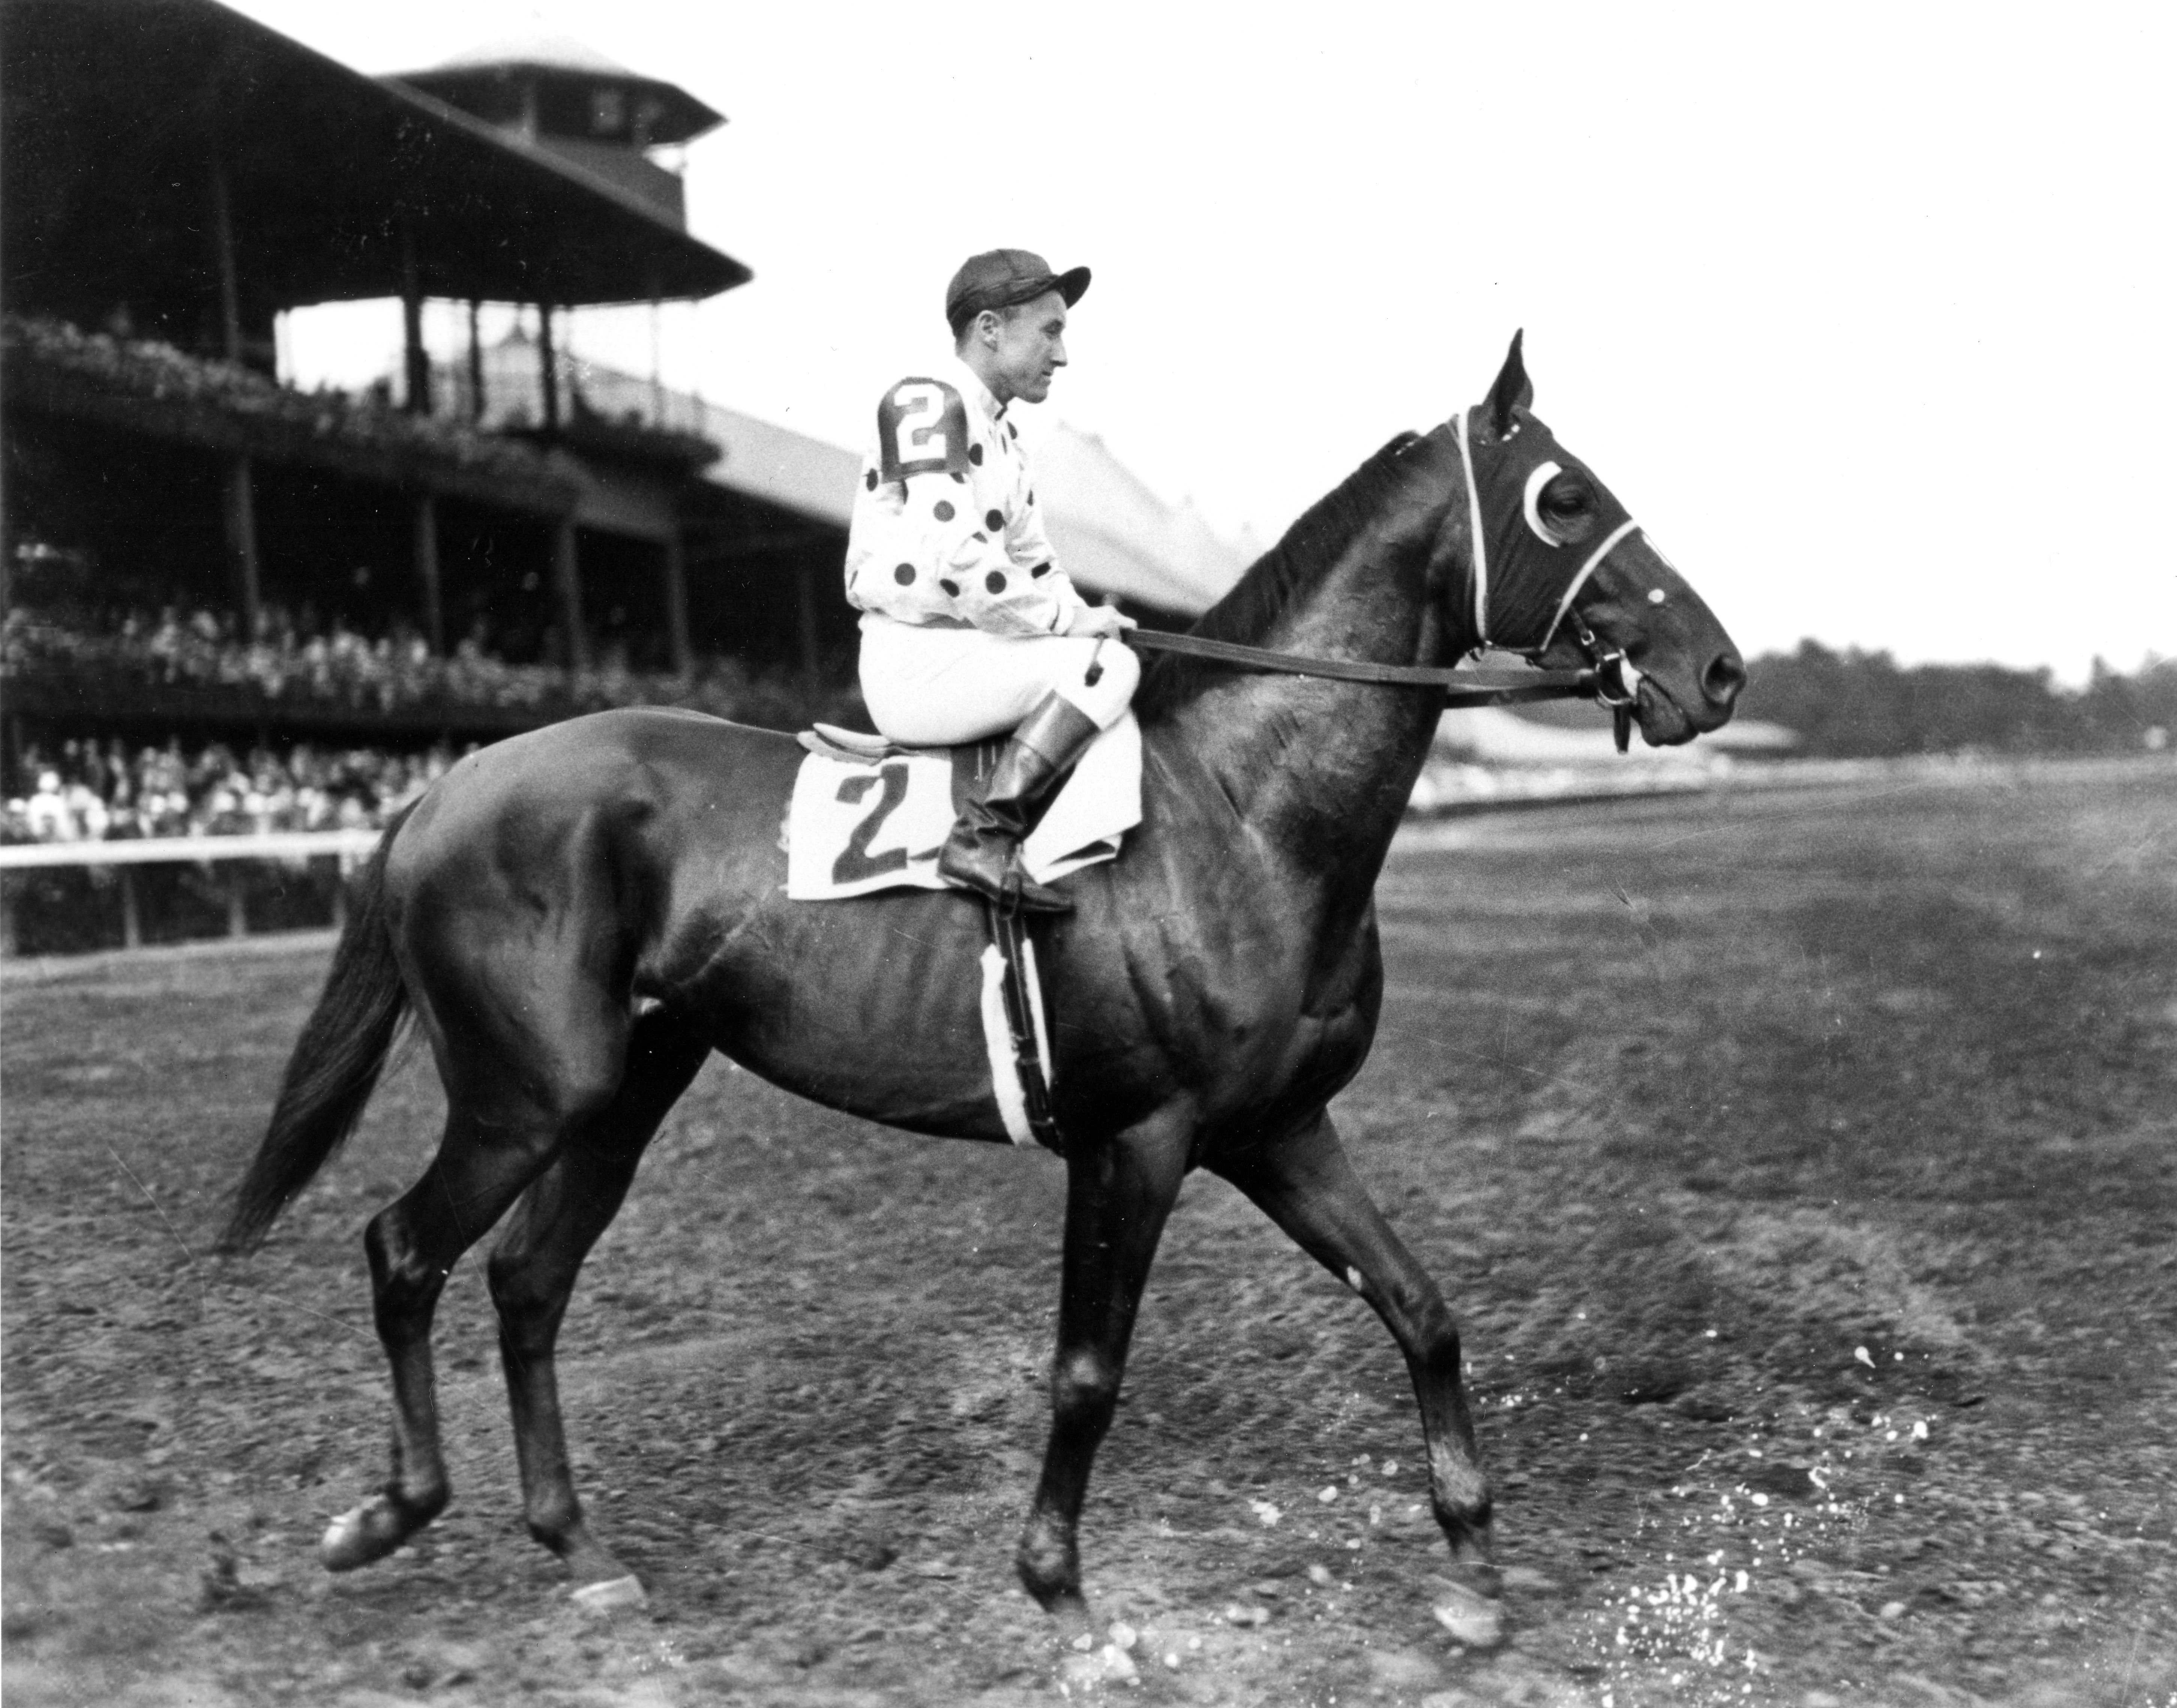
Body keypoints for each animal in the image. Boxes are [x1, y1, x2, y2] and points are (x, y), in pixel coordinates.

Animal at [217, 333, 1750, 1627]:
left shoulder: (1277, 1127)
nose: (1718, 669)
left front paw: (1475, 1563)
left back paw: (579, 1548)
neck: (1241, 810)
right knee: (405, 1251)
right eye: (1563, 497)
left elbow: (1423, 1309)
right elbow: (1085, 1373)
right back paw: (387, 1513)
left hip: (625, 1085)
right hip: (527, 1090)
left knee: (528, 1280)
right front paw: (1060, 1592)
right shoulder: (1139, 1140)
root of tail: (447, 785)